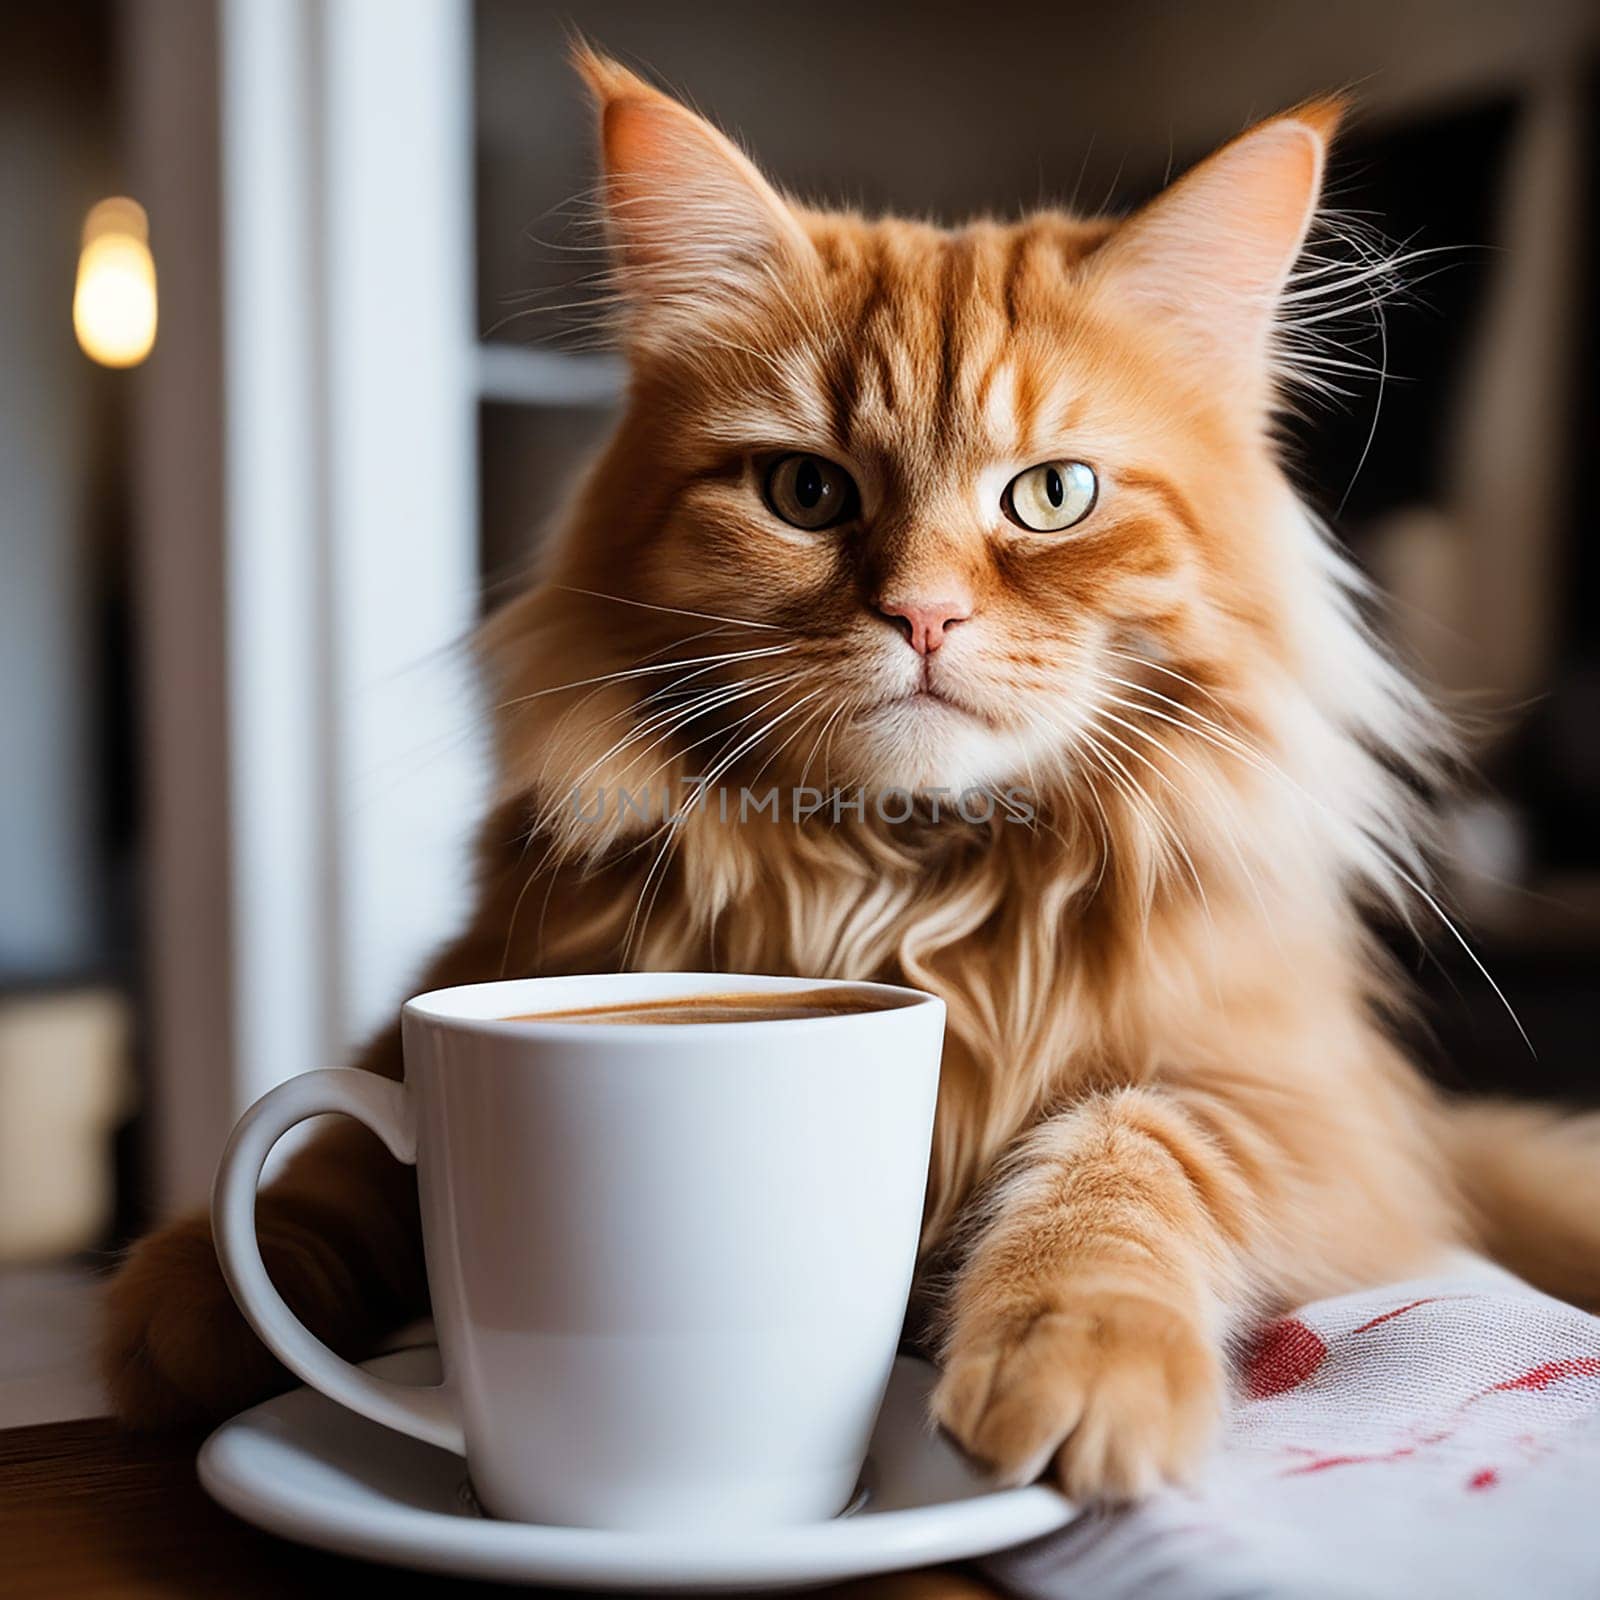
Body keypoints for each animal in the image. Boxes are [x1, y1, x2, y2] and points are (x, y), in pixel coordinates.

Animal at [103, 50, 1600, 1497]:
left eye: (1052, 495)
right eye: (805, 494)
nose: (923, 614)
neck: (903, 887)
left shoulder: (1316, 1121)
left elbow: (1132, 1151)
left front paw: (1077, 1350)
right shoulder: (464, 985)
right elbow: (334, 1153)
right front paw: (204, 1301)